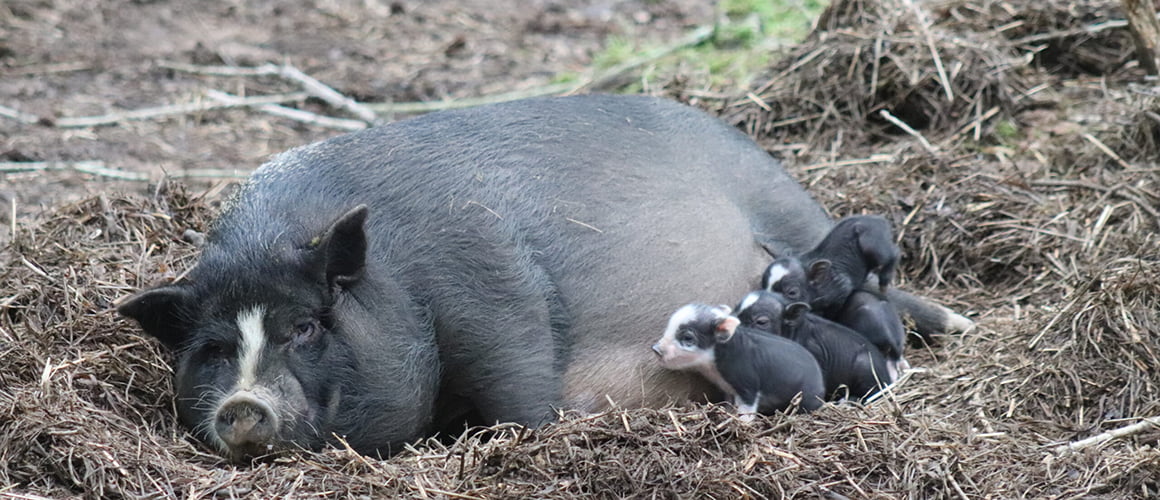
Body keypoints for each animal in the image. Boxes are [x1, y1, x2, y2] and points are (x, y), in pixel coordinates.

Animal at [651, 304, 825, 418]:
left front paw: (741, 423)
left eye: (688, 337)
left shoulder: (748, 382)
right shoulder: (728, 389)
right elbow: (729, 403)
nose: (655, 348)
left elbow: (747, 408)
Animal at [762, 215, 900, 317]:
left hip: (873, 246)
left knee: (894, 253)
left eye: (792, 292)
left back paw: (883, 285)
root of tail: (882, 221)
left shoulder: (842, 289)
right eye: (763, 284)